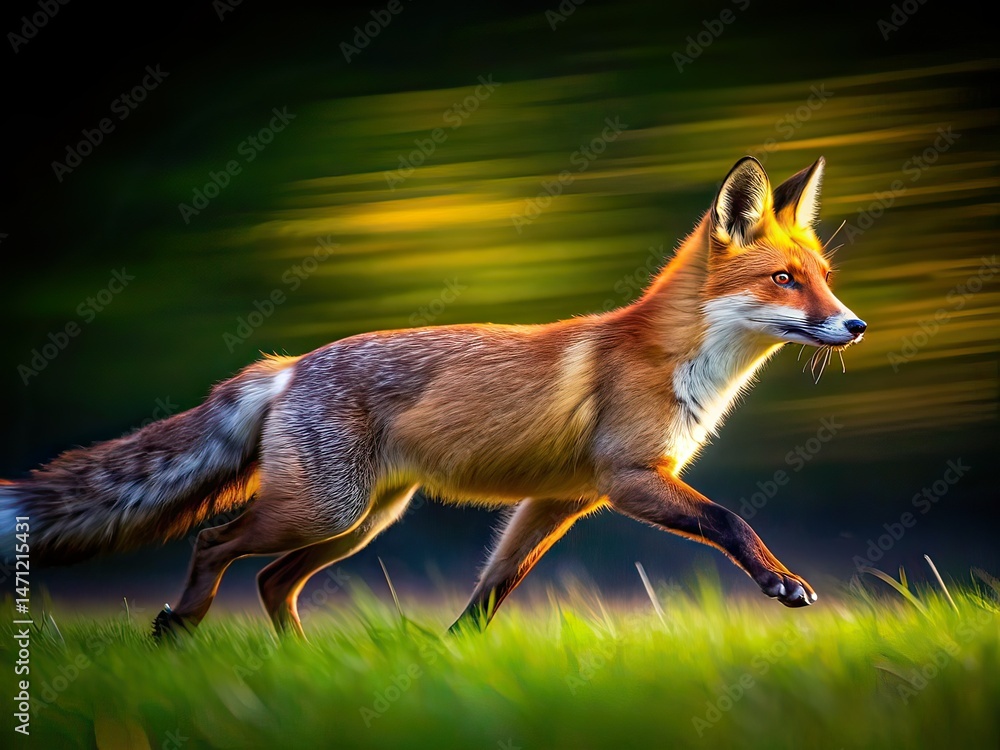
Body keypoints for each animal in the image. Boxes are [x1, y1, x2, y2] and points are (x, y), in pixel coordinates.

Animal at [0, 156, 865, 639]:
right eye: (784, 280)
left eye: (825, 277)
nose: (855, 325)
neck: (676, 364)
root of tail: (288, 364)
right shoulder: (626, 480)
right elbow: (731, 522)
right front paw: (782, 583)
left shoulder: (560, 500)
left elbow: (494, 590)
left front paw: (448, 655)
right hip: (323, 511)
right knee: (215, 544)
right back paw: (180, 625)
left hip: (362, 521)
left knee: (273, 580)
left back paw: (307, 667)